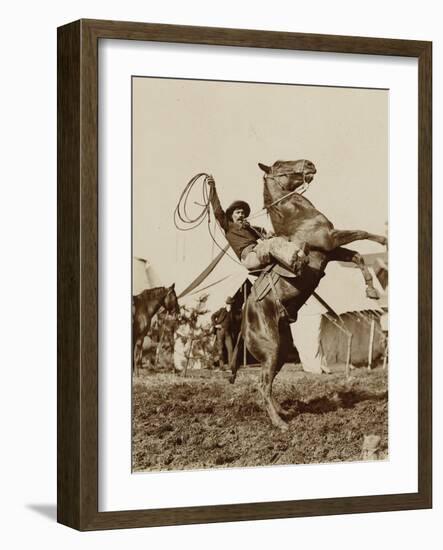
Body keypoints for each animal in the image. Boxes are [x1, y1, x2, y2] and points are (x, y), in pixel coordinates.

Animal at [234, 160, 386, 432]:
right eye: (279, 165)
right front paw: (385, 240)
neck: (298, 217)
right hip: (271, 349)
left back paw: (282, 411)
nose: (309, 164)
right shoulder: (331, 239)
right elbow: (362, 232)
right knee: (262, 384)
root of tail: (244, 322)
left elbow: (357, 256)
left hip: (280, 351)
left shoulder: (332, 250)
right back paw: (280, 423)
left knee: (267, 382)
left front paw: (371, 290)